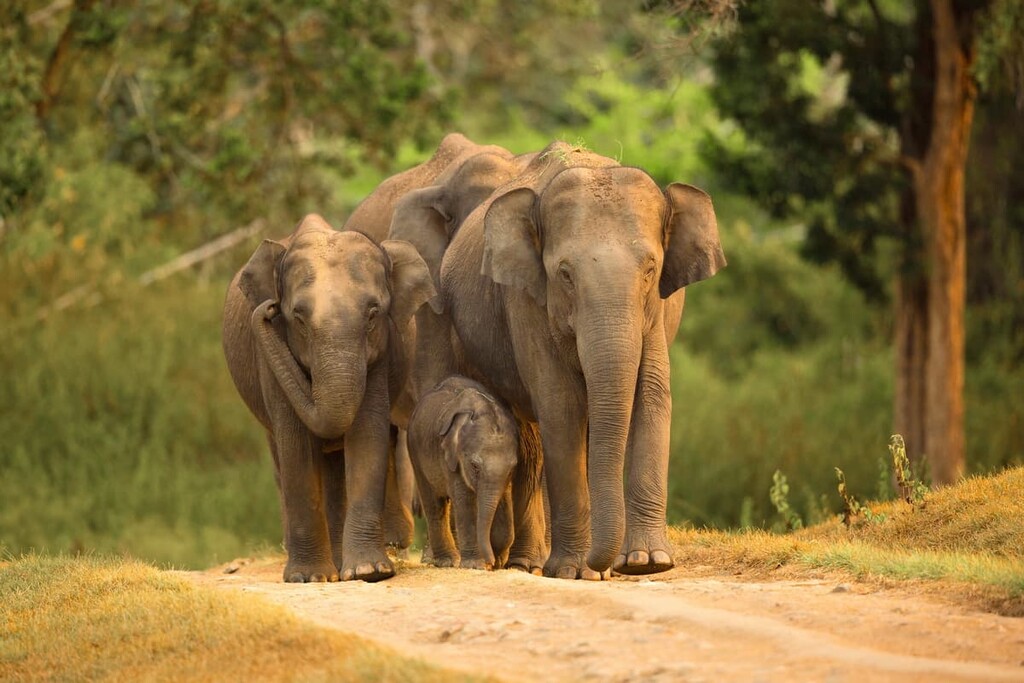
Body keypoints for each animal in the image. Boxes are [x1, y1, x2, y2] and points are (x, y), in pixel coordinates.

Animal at [222, 214, 437, 582]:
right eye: (297, 316)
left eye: (373, 314)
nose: (268, 308)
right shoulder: (271, 356)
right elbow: (295, 445)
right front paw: (308, 578)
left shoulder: (380, 354)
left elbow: (367, 436)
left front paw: (369, 572)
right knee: (282, 457)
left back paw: (339, 564)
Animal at [406, 376, 520, 570]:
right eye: (474, 466)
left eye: (512, 468)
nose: (490, 562)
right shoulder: (451, 458)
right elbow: (465, 501)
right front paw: (476, 565)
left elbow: (504, 500)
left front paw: (497, 561)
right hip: (415, 451)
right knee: (434, 503)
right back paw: (447, 561)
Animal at [439, 141, 726, 580]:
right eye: (565, 274)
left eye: (651, 269)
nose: (605, 565)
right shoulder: (526, 300)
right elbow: (561, 406)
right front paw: (574, 571)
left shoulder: (655, 312)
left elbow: (652, 396)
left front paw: (647, 563)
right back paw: (530, 564)